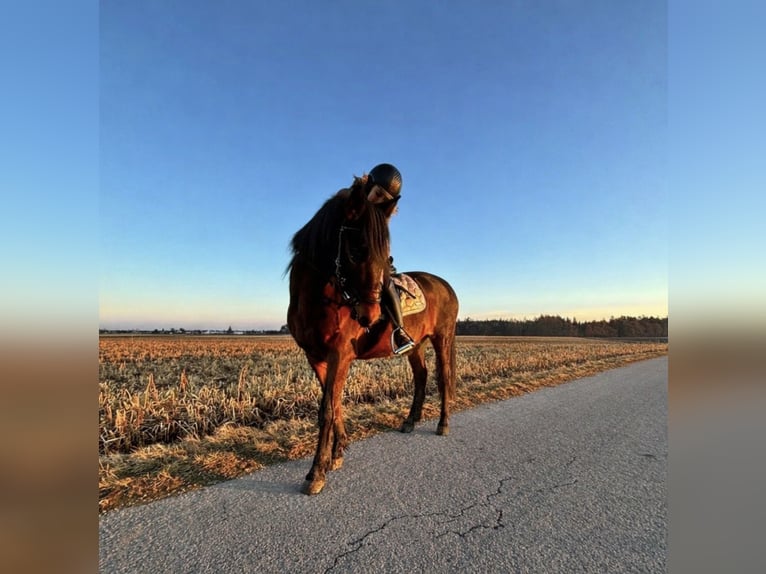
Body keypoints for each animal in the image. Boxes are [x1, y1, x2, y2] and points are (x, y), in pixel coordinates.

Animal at [286, 176, 459, 495]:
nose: (370, 315)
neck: (319, 300)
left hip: (442, 338)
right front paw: (338, 453)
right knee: (421, 375)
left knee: (442, 378)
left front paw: (316, 473)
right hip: (415, 345)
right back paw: (410, 421)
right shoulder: (315, 357)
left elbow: (327, 409)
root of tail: (446, 285)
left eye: (383, 254)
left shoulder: (339, 355)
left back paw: (442, 424)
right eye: (356, 250)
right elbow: (334, 404)